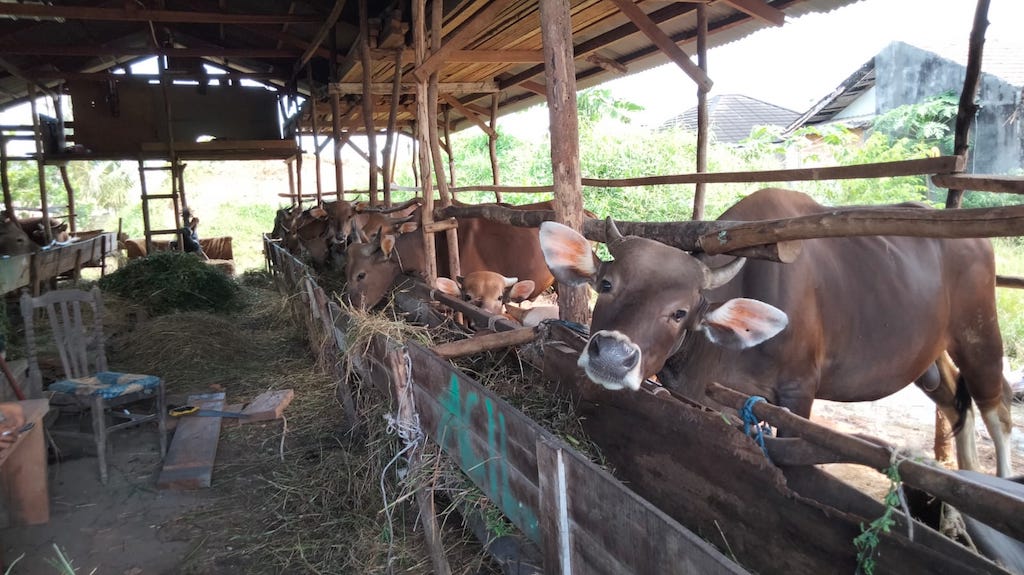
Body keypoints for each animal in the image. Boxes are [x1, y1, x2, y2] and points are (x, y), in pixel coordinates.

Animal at [540, 187, 1011, 474]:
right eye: (606, 284)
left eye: (680, 312)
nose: (612, 357)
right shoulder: (704, 397)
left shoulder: (798, 392)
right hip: (927, 357)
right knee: (957, 405)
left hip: (979, 333)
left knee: (997, 410)